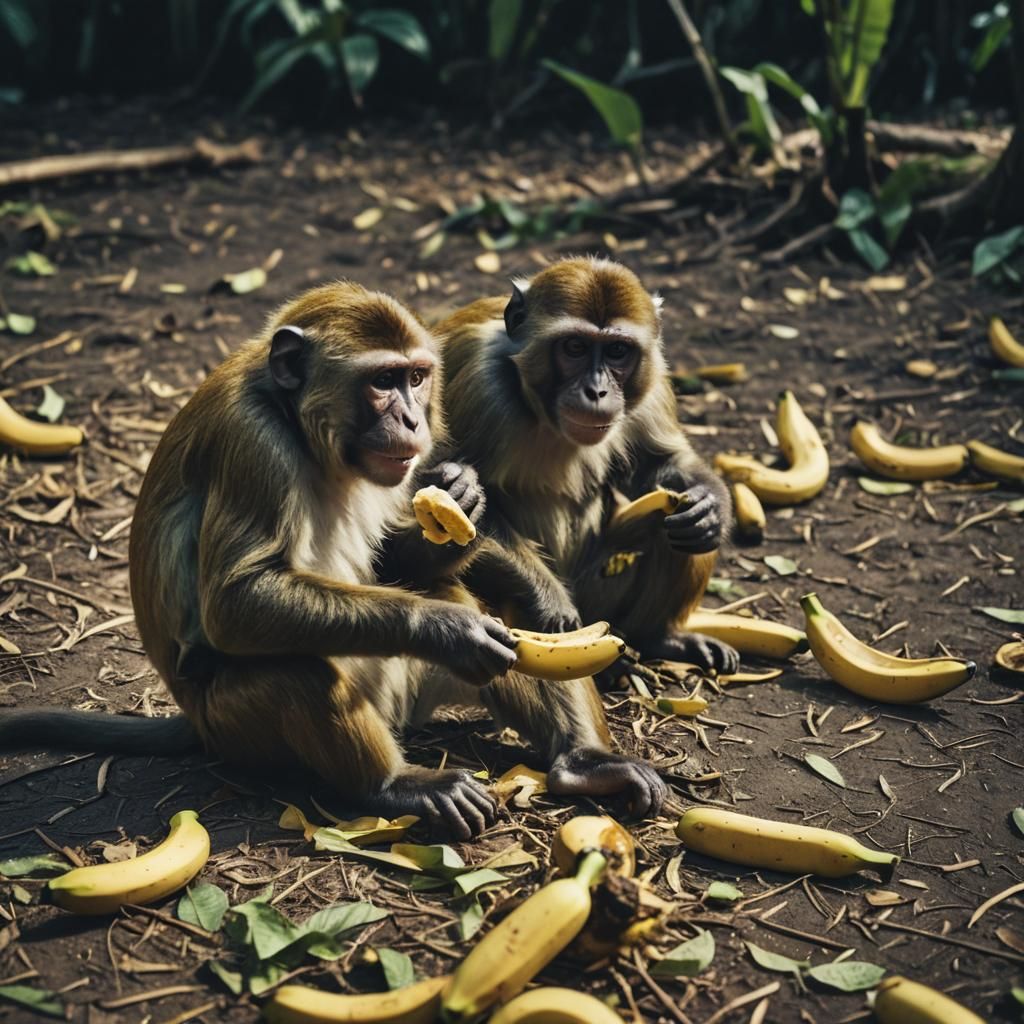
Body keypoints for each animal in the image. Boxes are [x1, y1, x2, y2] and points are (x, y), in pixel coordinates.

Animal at [0, 281, 665, 835]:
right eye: (383, 382)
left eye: (417, 377)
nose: (413, 418)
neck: (299, 424)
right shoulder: (254, 441)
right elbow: (238, 600)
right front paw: (449, 630)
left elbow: (398, 560)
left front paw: (462, 503)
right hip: (234, 727)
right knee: (297, 668)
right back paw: (395, 785)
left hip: (408, 696)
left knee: (482, 615)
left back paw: (581, 762)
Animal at [430, 256, 740, 677]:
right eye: (575, 347)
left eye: (618, 351)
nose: (597, 391)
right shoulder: (481, 385)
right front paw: (550, 600)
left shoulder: (652, 383)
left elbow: (662, 464)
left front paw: (711, 506)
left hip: (600, 597)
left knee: (672, 521)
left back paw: (660, 638)